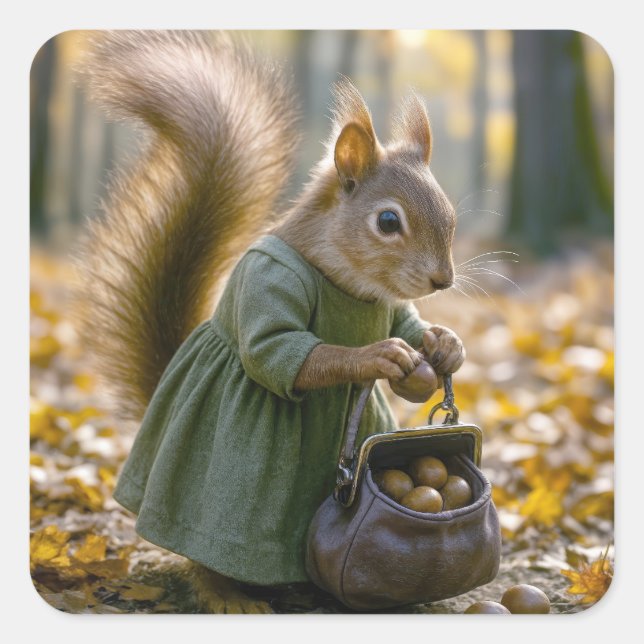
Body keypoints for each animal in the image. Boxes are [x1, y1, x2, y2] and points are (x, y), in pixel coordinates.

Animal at [76, 30, 465, 614]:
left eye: (451, 216)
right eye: (387, 221)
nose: (443, 279)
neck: (352, 285)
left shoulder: (392, 306)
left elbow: (409, 324)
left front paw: (445, 345)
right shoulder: (269, 283)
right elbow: (277, 353)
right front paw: (373, 356)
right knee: (198, 561)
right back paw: (229, 594)